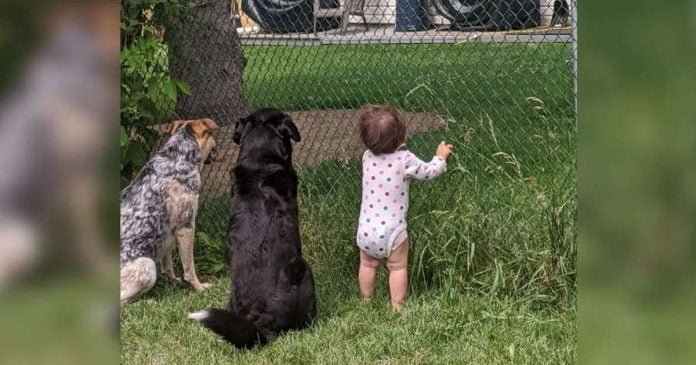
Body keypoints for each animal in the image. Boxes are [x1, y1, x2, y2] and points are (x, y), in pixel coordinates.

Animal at [119, 118, 218, 302]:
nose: (218, 146)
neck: (177, 159)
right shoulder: (186, 228)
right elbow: (189, 268)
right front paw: (199, 288)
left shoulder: (167, 234)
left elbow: (168, 265)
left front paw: (173, 282)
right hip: (148, 265)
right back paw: (148, 301)